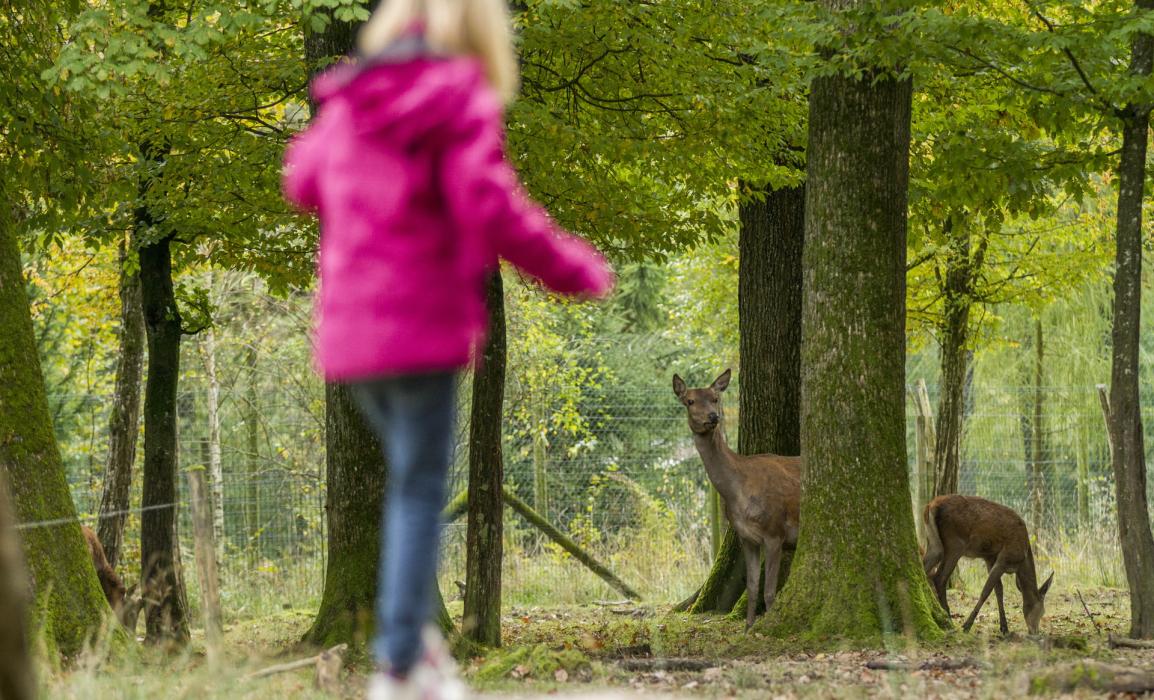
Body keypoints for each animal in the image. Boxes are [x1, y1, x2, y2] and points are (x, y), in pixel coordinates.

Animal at [669, 369, 803, 627]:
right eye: (690, 401)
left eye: (715, 398)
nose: (713, 416)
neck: (738, 493)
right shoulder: (746, 538)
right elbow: (751, 587)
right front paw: (747, 628)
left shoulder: (775, 532)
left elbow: (769, 592)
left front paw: (764, 627)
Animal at [918, 495, 1057, 636]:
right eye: (1042, 611)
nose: (1035, 631)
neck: (1021, 559)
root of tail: (931, 505)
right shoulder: (1004, 558)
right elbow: (986, 590)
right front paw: (967, 626)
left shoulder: (990, 558)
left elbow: (999, 590)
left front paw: (1004, 627)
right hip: (955, 544)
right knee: (939, 578)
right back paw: (948, 618)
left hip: (935, 544)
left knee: (923, 568)